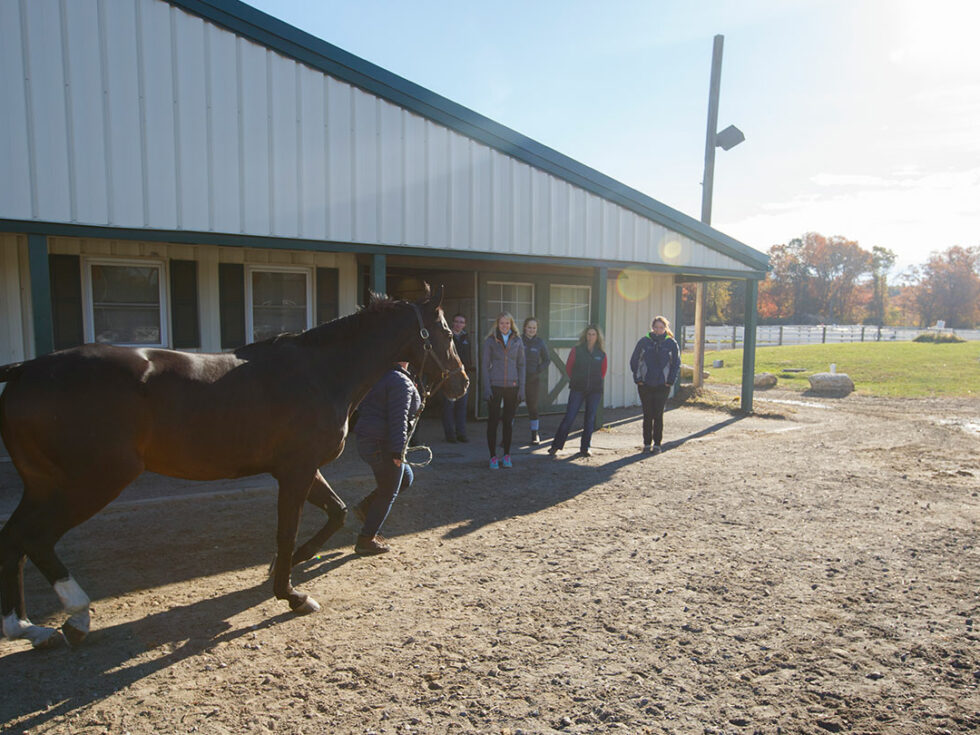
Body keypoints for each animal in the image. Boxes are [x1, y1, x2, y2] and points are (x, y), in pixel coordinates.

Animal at [0, 284, 468, 648]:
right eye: (446, 331)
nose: (462, 382)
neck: (320, 371)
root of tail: (26, 370)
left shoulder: (301, 469)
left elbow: (335, 513)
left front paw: (289, 566)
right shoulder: (296, 471)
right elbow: (286, 532)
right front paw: (291, 594)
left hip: (43, 484)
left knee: (14, 538)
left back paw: (25, 627)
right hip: (92, 482)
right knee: (36, 538)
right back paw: (77, 617)